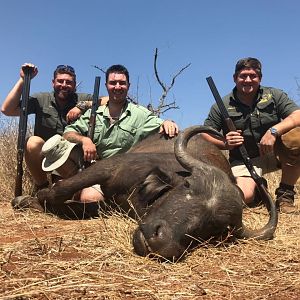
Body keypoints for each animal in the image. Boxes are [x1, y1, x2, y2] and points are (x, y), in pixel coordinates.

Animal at [17, 125, 278, 260]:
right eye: (188, 185)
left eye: (214, 226)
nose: (159, 239)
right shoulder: (108, 168)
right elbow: (59, 190)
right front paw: (27, 200)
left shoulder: (109, 205)